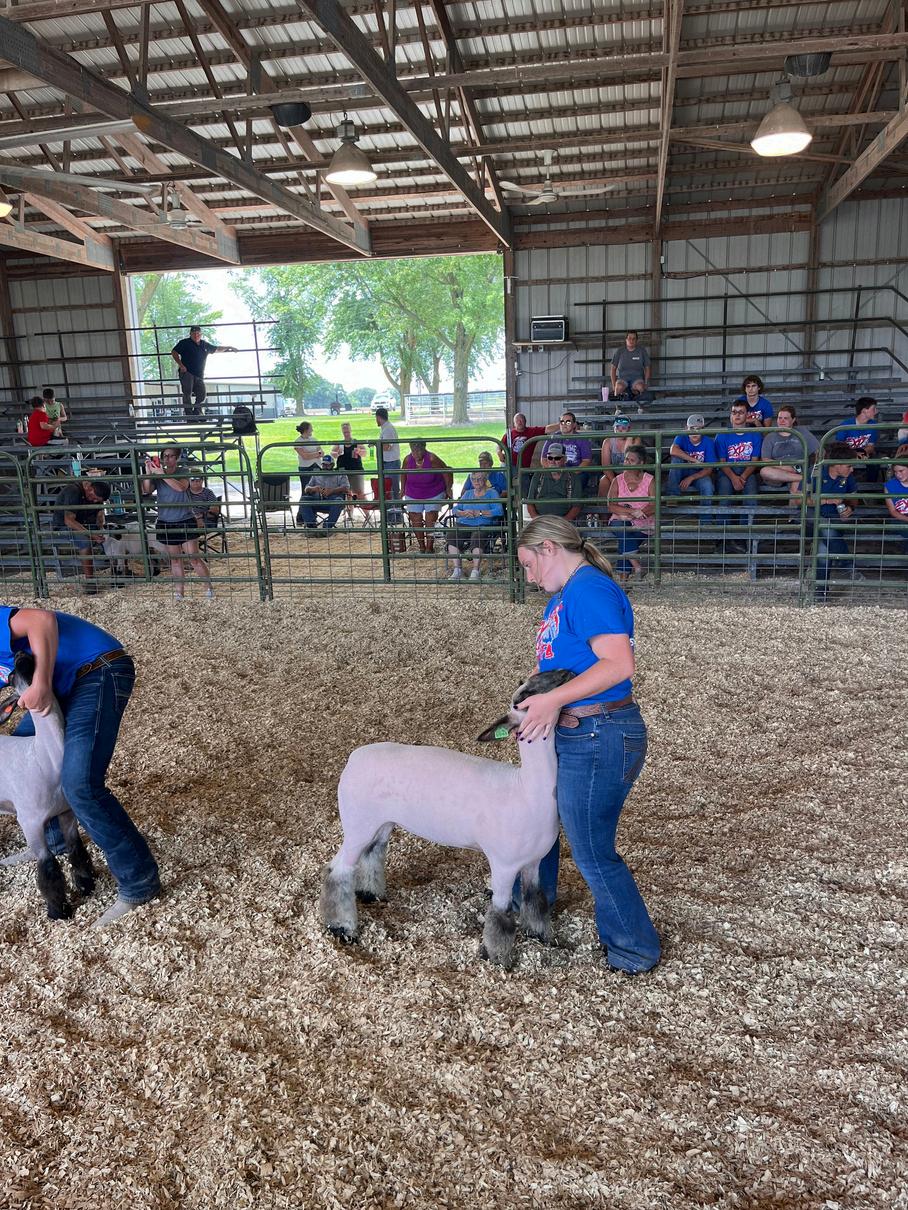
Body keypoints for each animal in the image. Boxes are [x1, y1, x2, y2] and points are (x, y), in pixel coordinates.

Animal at [0, 653, 95, 919]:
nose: (22, 654)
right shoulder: (30, 822)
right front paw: (58, 910)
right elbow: (47, 866)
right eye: (12, 676)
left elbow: (76, 849)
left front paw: (86, 885)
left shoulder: (66, 812)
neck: (46, 758)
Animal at [320, 669, 574, 969]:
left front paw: (542, 937)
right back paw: (342, 928)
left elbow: (536, 900)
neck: (525, 789)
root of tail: (354, 758)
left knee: (373, 853)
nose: (568, 672)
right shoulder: (504, 864)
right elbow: (500, 916)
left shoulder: (533, 863)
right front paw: (498, 959)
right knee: (337, 871)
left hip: (382, 823)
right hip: (357, 824)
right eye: (524, 696)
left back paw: (372, 894)